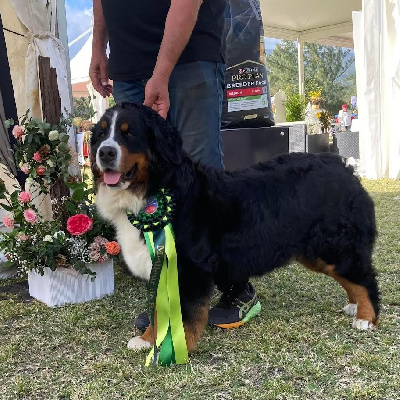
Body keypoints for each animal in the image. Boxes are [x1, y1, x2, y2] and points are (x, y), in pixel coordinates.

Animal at [90, 102, 378, 354]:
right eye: (102, 133)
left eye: (130, 133)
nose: (105, 152)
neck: (157, 188)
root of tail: (344, 167)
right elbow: (158, 312)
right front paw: (147, 339)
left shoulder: (189, 267)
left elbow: (185, 313)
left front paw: (178, 347)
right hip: (318, 252)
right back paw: (355, 306)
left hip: (334, 246)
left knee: (365, 278)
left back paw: (366, 317)